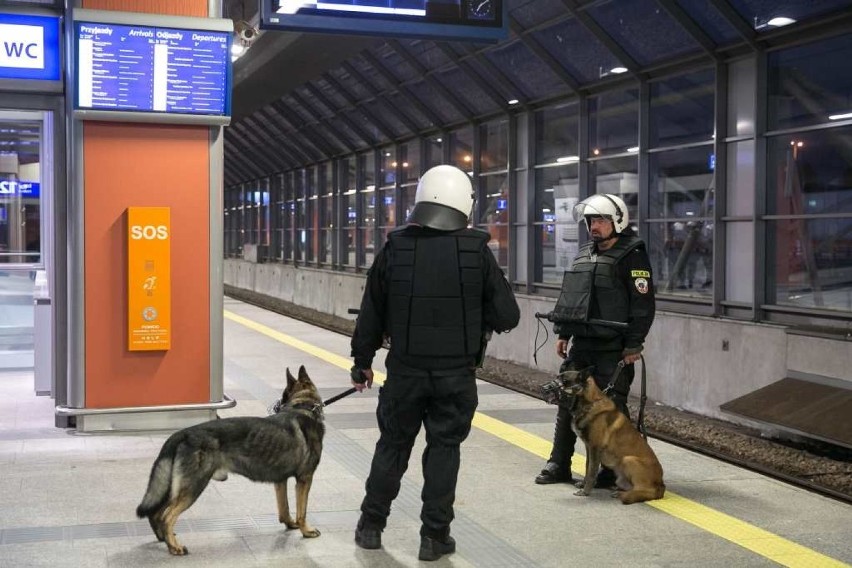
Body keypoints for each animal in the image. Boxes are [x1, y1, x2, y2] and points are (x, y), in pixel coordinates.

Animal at [135, 364, 324, 556]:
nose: (279, 405)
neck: (303, 407)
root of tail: (182, 433)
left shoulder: (280, 481)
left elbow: (284, 508)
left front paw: (290, 524)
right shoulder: (305, 478)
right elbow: (302, 511)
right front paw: (306, 530)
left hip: (177, 487)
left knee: (156, 513)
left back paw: (164, 539)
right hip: (193, 487)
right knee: (167, 516)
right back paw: (174, 546)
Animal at [564, 370, 664, 504]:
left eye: (564, 380)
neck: (590, 403)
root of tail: (661, 485)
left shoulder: (594, 448)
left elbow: (591, 472)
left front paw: (585, 491)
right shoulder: (589, 449)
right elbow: (587, 467)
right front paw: (583, 484)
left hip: (629, 459)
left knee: (646, 491)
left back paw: (625, 495)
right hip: (621, 477)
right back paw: (619, 492)